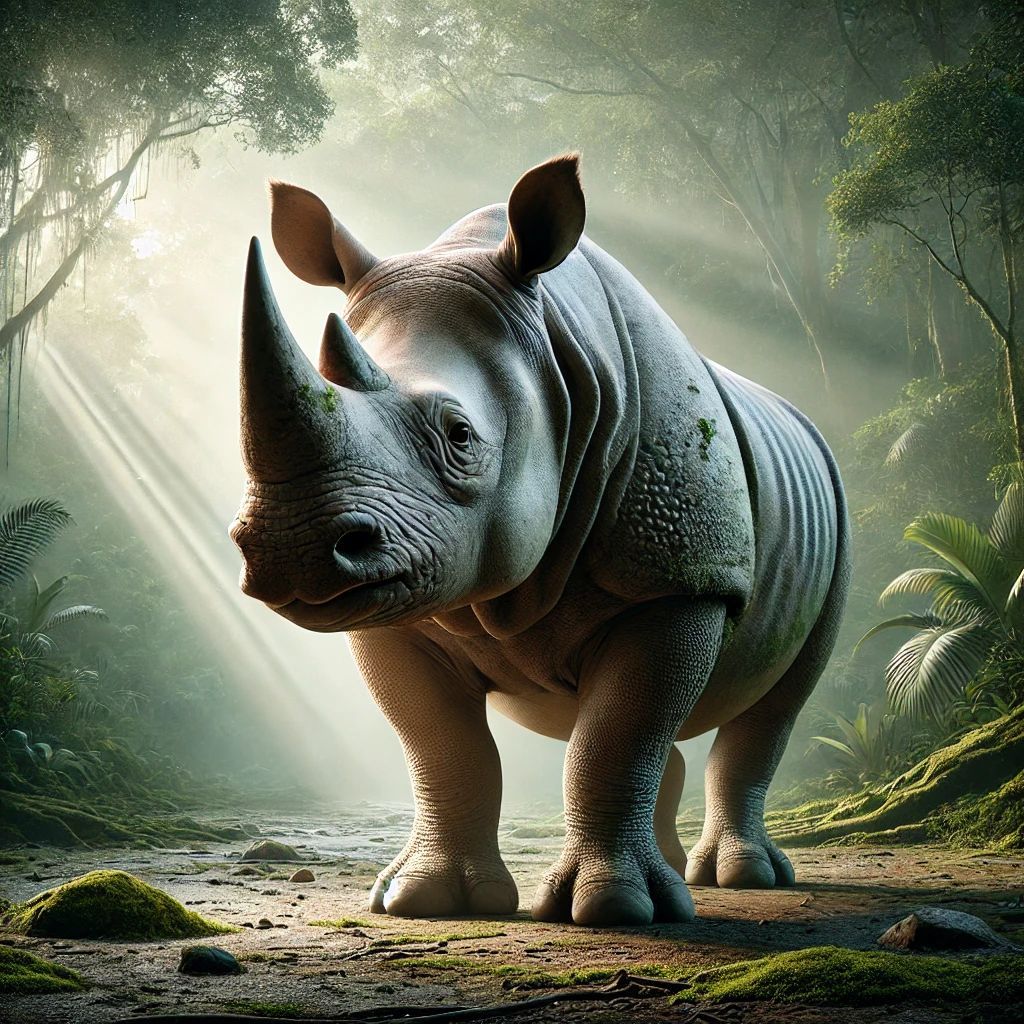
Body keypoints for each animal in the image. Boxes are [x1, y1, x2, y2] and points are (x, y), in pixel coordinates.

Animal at [230, 155, 850, 926]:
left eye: (460, 435)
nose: (293, 553)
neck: (553, 359)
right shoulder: (395, 603)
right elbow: (444, 745)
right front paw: (424, 900)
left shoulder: (679, 577)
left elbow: (616, 736)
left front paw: (614, 910)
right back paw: (681, 874)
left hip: (834, 516)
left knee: (774, 706)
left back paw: (739, 878)